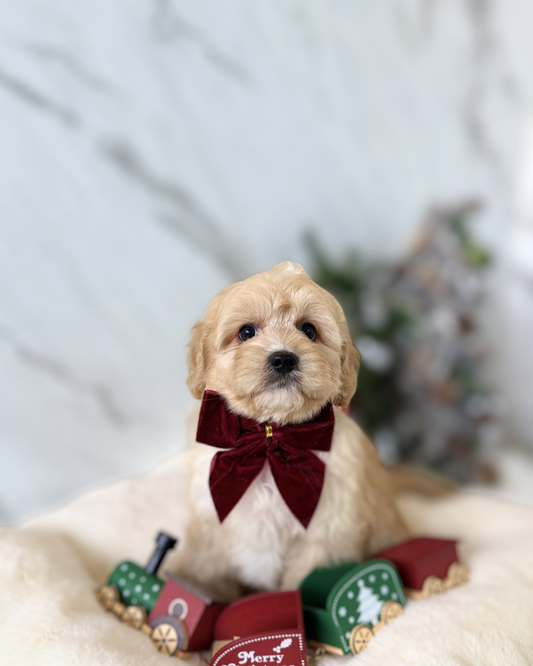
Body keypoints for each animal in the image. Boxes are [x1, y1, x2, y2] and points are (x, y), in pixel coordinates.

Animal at [175, 262, 408, 600]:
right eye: (246, 332)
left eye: (309, 330)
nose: (283, 359)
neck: (271, 437)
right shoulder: (212, 528)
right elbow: (211, 577)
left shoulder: (326, 534)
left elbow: (303, 582)